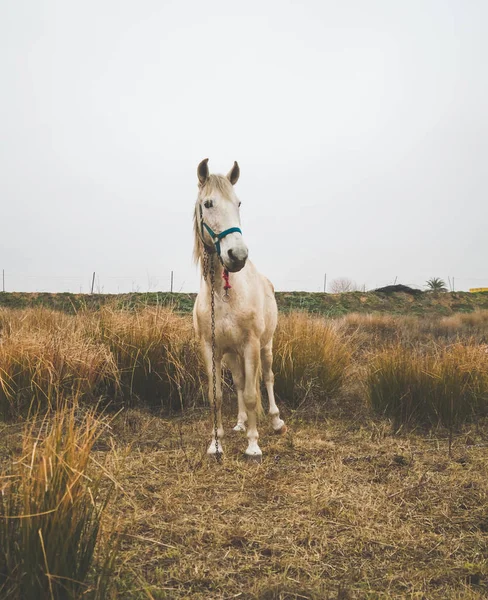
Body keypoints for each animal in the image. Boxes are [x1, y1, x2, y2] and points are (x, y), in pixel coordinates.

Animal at [193, 157, 286, 458]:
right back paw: (241, 423)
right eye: (208, 203)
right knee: (239, 380)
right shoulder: (211, 348)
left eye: (239, 203)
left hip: (266, 346)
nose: (238, 256)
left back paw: (276, 421)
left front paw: (253, 445)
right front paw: (215, 443)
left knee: (266, 378)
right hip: (232, 355)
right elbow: (218, 395)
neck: (223, 295)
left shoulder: (251, 344)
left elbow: (252, 394)